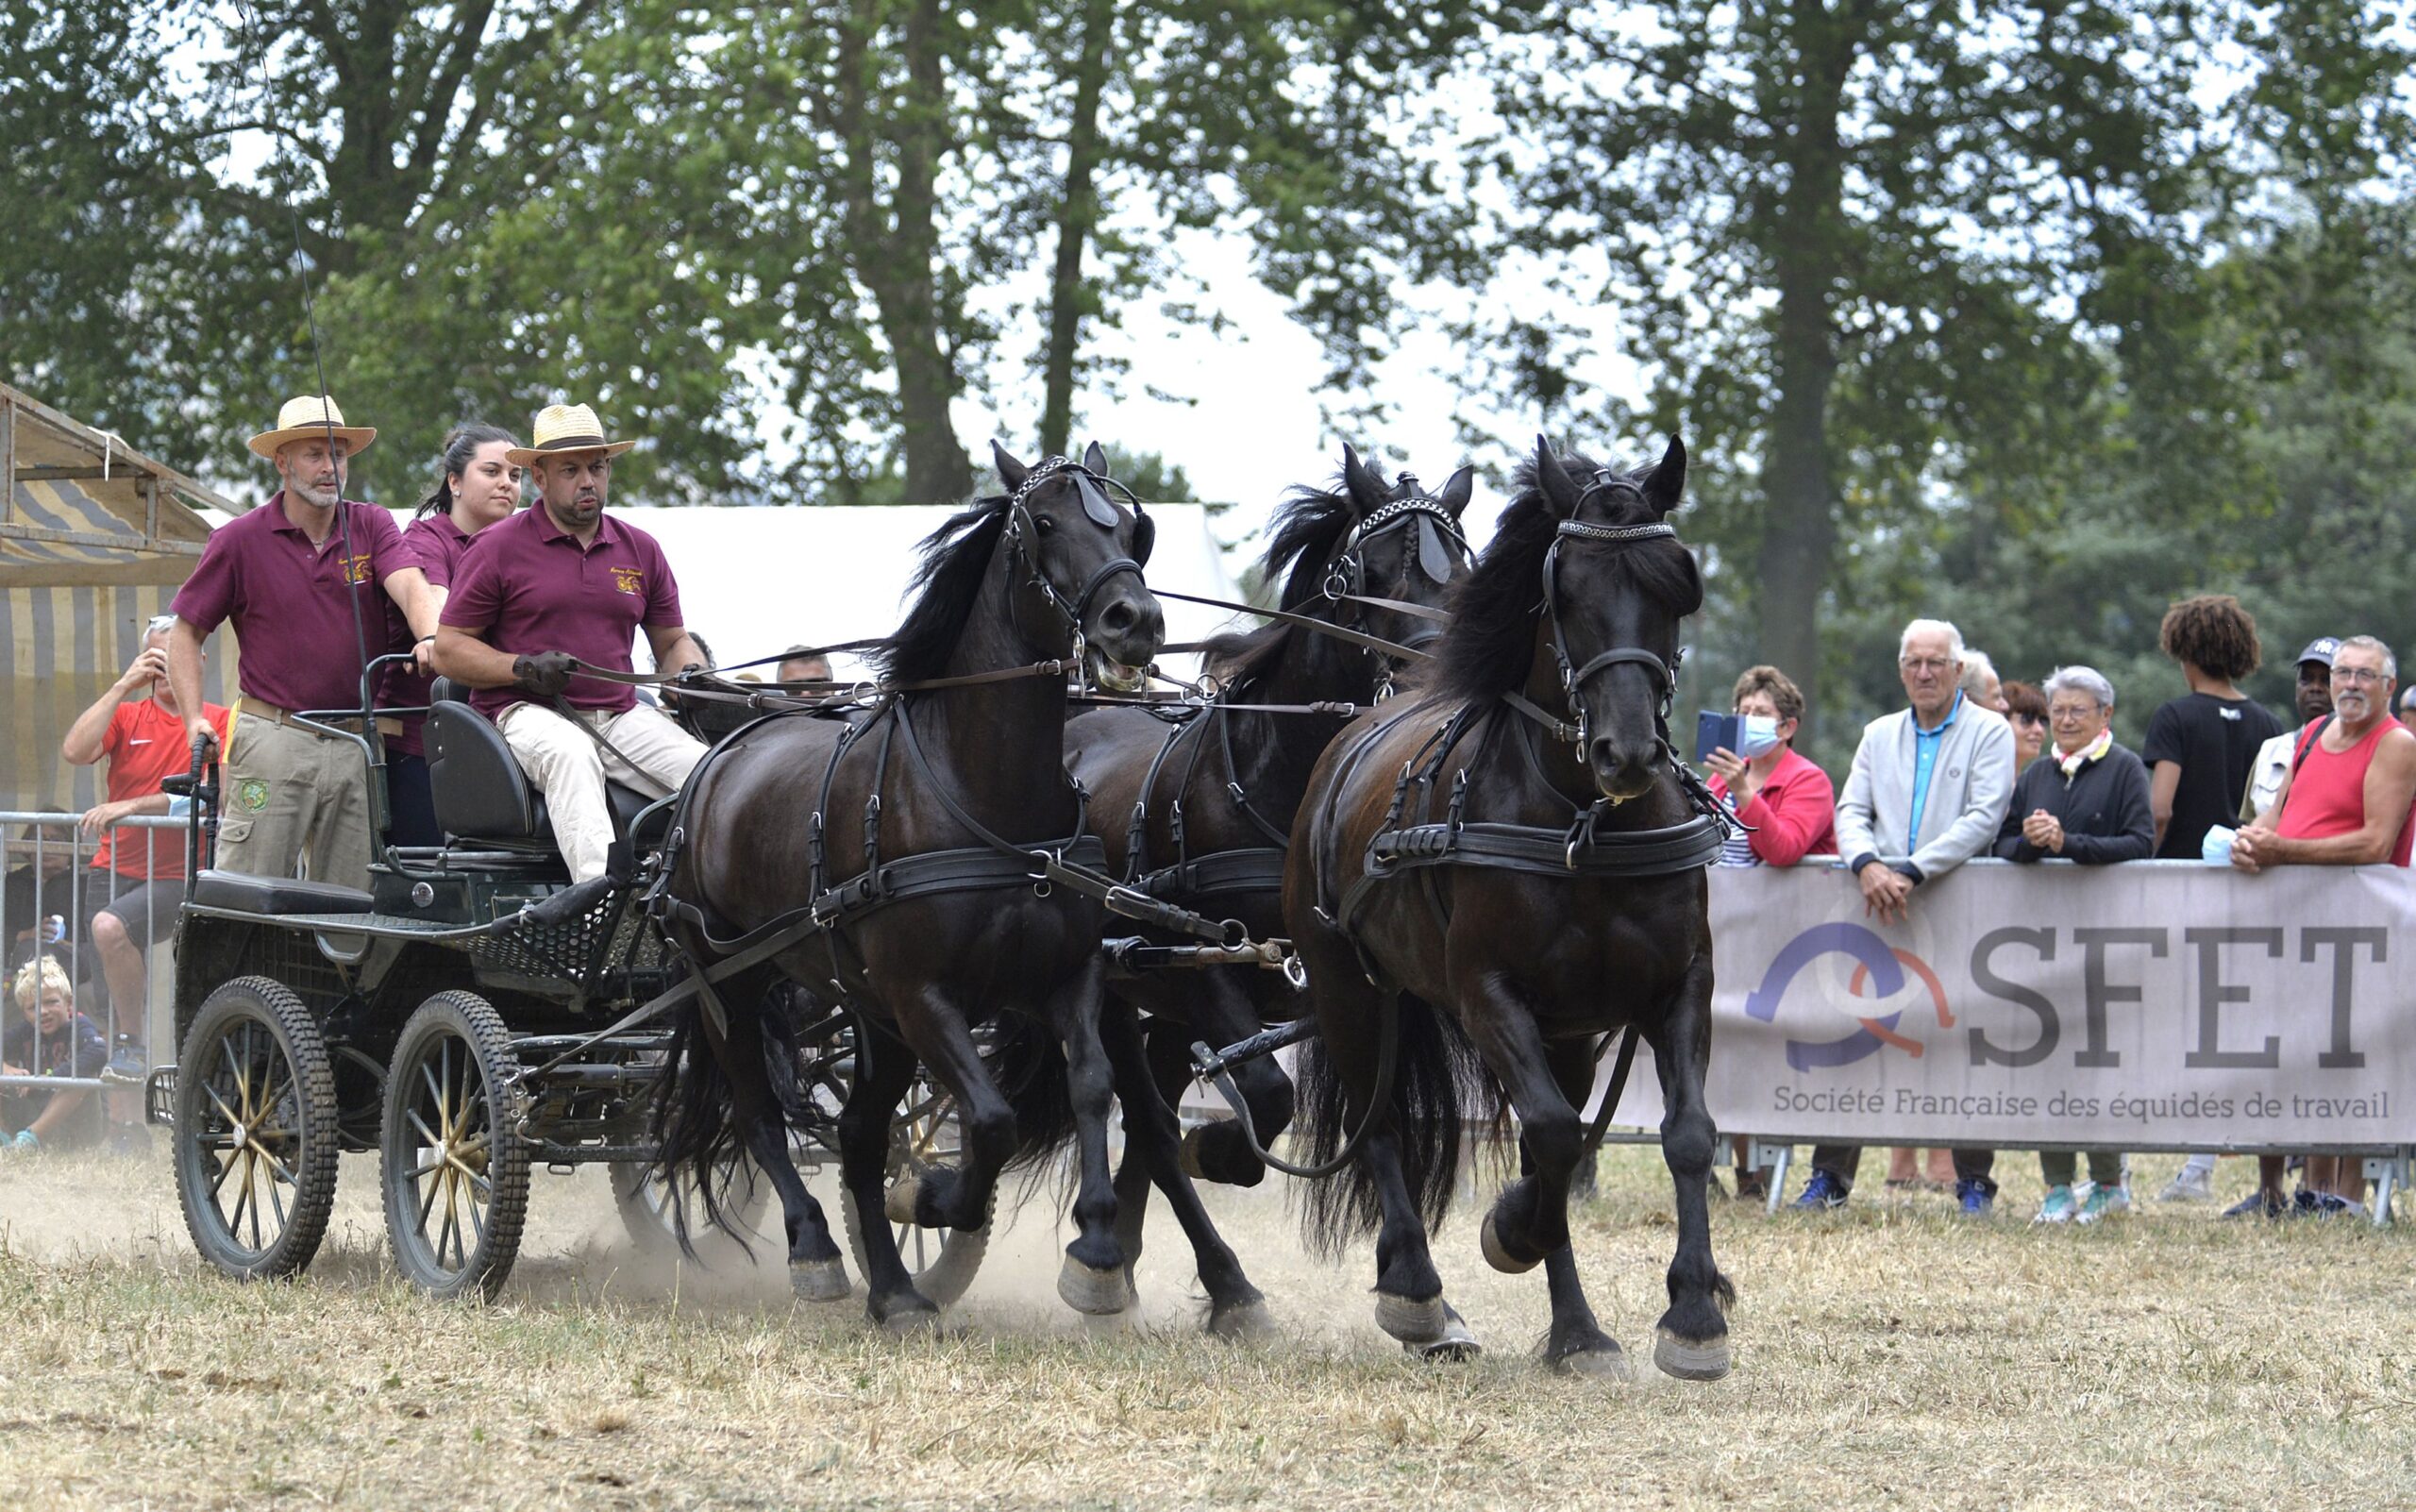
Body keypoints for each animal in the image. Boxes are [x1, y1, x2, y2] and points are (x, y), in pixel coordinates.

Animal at [657, 442, 1266, 1323]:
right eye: (1044, 521)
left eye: (1132, 529)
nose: (1137, 621)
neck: (982, 794)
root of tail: (723, 748)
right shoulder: (924, 997)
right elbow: (990, 1119)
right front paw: (939, 1198)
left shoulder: (1065, 980)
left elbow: (1091, 1088)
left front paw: (1097, 1250)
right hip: (730, 985)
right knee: (761, 1114)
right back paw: (816, 1248)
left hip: (867, 1012)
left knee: (858, 1135)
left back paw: (895, 1291)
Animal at [1072, 444, 1468, 1285]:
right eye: (1367, 571)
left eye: (1464, 568)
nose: (1432, 683)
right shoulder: (1206, 957)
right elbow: (1265, 1093)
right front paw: (1223, 1150)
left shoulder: (1347, 979)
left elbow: (1363, 1109)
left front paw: (1415, 1278)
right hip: (1123, 982)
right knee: (1149, 1122)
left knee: (1153, 1112)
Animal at [1284, 429, 1739, 1371]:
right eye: (1564, 591)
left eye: (1674, 584)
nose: (1627, 753)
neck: (1584, 820)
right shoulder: (1487, 994)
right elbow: (1556, 1136)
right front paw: (1511, 1230)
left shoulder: (1679, 985)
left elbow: (1683, 1134)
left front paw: (1693, 1313)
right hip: (1348, 989)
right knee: (1383, 1128)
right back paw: (1419, 1291)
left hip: (1568, 1031)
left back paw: (1576, 1331)